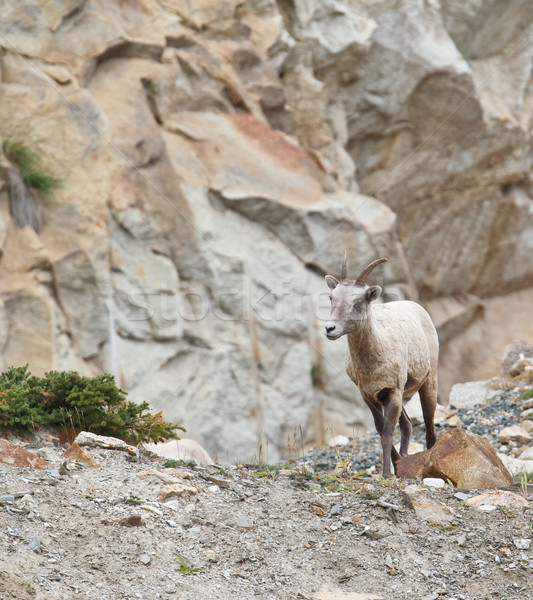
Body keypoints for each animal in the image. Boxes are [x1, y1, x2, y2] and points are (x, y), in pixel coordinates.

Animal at [322, 255, 438, 480]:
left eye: (358, 302)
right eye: (331, 297)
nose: (330, 329)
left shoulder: (393, 392)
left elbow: (387, 433)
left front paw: (386, 474)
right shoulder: (370, 395)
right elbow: (380, 428)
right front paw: (396, 467)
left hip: (428, 382)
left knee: (429, 427)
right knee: (407, 424)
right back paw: (403, 458)